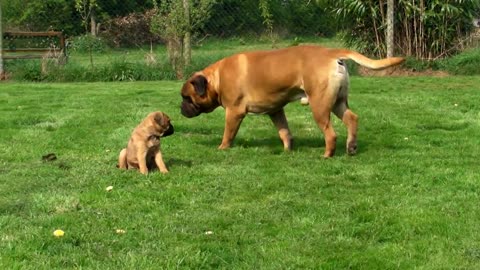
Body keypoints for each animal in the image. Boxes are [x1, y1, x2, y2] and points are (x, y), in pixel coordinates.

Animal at [178, 45, 404, 157]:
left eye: (186, 97)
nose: (180, 108)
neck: (216, 78)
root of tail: (331, 53)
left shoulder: (234, 112)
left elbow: (228, 133)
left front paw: (223, 148)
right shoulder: (275, 110)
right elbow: (284, 131)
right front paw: (287, 150)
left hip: (320, 105)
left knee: (330, 133)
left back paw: (327, 154)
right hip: (338, 102)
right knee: (352, 119)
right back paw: (351, 147)